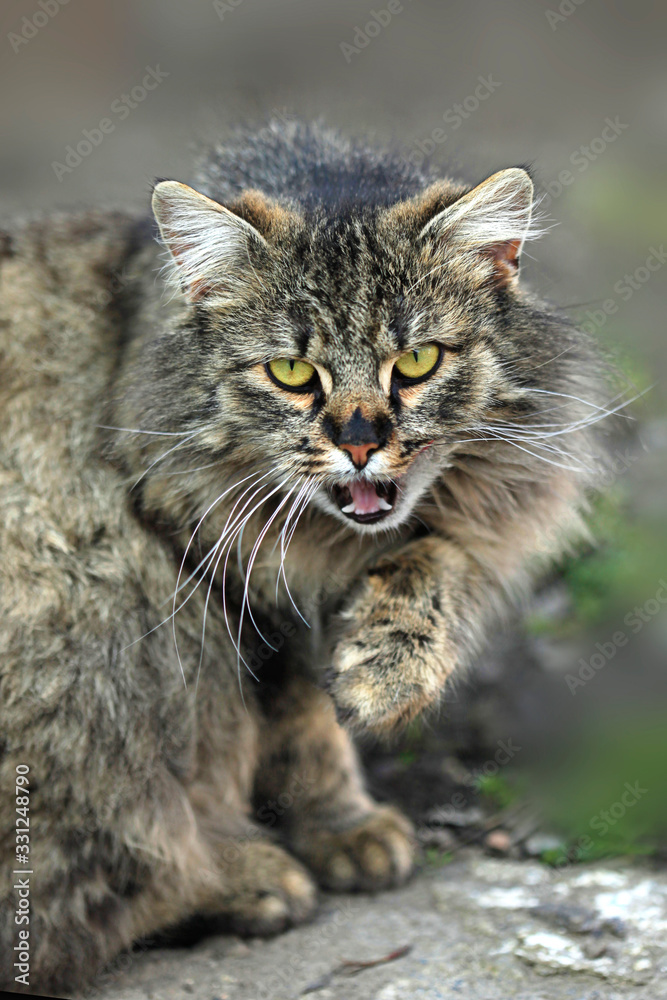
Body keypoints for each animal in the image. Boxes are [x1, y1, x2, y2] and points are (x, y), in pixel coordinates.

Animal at [0, 121, 612, 996]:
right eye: (291, 373)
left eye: (417, 362)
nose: (358, 443)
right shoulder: (221, 572)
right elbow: (299, 721)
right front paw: (338, 822)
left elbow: (433, 560)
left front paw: (388, 671)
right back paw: (246, 877)